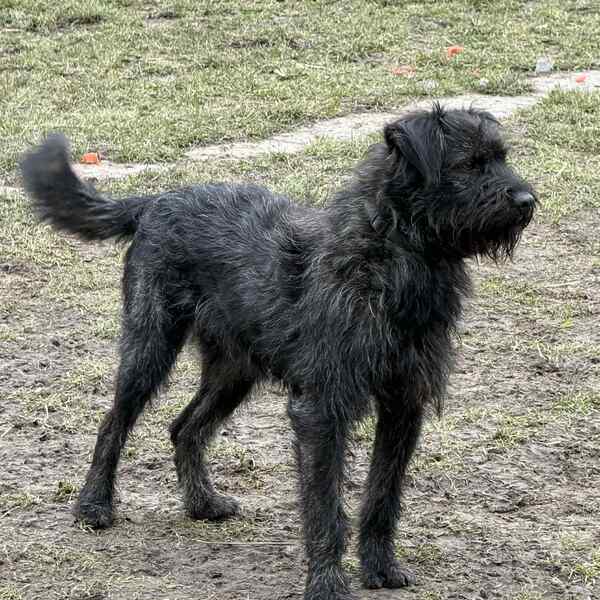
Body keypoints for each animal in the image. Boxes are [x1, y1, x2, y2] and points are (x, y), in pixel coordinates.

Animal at [21, 104, 536, 600]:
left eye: (501, 157)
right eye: (468, 164)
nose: (527, 201)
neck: (393, 258)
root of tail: (157, 201)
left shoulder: (404, 405)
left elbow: (382, 497)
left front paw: (380, 568)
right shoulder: (322, 410)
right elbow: (325, 507)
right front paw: (327, 585)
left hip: (233, 372)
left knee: (185, 427)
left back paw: (202, 504)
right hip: (150, 348)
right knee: (114, 422)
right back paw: (94, 506)